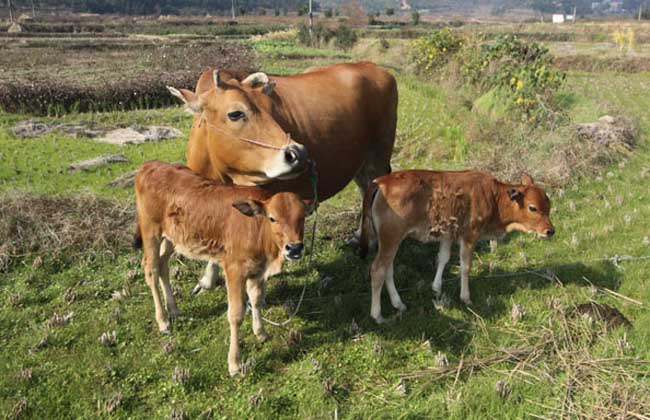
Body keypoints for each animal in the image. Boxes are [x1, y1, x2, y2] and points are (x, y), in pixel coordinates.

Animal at [134, 160, 306, 374]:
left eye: (303, 217)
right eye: (272, 218)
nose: (294, 248)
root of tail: (150, 165)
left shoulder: (257, 271)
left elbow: (256, 300)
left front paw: (261, 333)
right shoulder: (234, 269)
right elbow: (236, 314)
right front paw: (234, 363)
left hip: (172, 237)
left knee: (163, 264)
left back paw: (173, 310)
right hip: (150, 231)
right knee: (151, 269)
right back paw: (163, 320)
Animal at [167, 62, 398, 290]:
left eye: (270, 110)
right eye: (235, 113)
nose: (299, 153)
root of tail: (377, 68)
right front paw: (207, 280)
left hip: (378, 156)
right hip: (360, 161)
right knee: (364, 189)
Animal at [360, 169, 552, 324]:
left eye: (549, 206)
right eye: (533, 208)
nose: (550, 231)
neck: (493, 196)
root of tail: (380, 182)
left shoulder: (448, 235)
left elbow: (443, 258)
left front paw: (436, 288)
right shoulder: (470, 236)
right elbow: (465, 266)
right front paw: (465, 297)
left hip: (389, 242)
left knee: (388, 270)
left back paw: (398, 303)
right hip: (391, 239)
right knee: (378, 270)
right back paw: (377, 315)